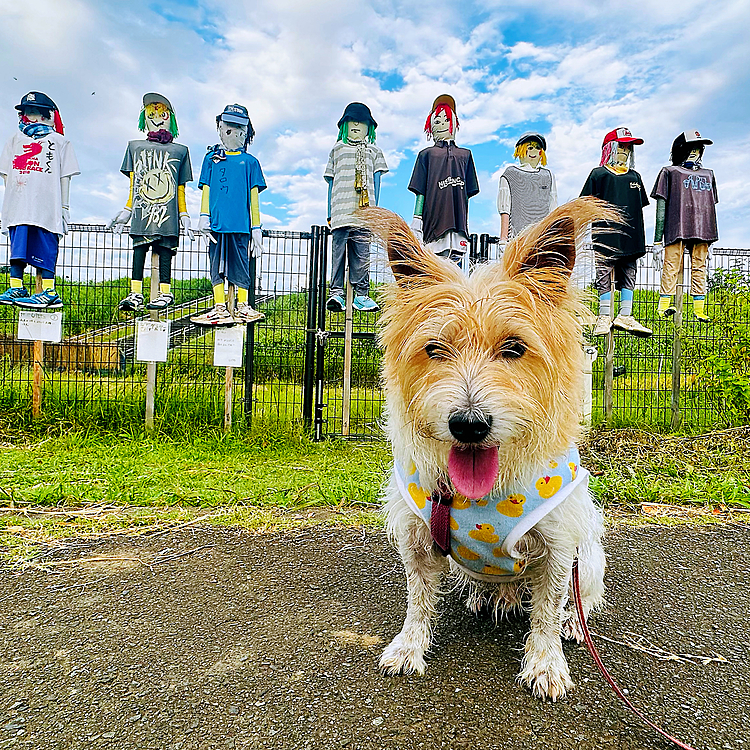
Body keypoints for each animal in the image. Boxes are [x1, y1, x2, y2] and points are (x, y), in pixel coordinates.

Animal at [366, 197, 616, 704]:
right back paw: (488, 596)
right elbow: (417, 598)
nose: (468, 425)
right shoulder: (417, 538)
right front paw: (409, 645)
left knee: (574, 599)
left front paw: (546, 662)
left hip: (588, 557)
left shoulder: (559, 546)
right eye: (434, 349)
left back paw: (570, 623)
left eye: (514, 348)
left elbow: (546, 609)